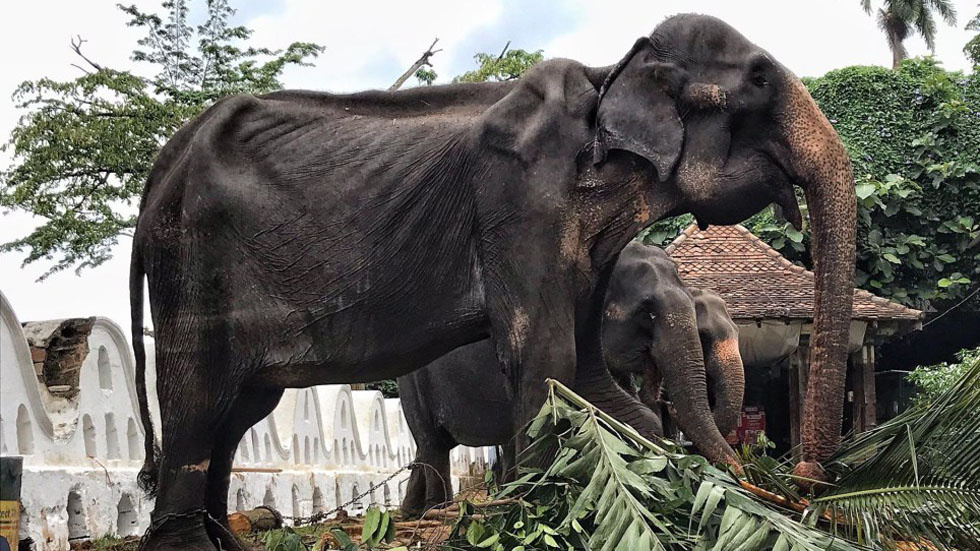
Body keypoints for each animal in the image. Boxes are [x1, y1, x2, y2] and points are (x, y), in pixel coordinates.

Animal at [397, 241, 745, 516]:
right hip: (412, 383)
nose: (743, 477)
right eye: (647, 312)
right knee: (433, 444)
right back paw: (438, 512)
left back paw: (415, 512)